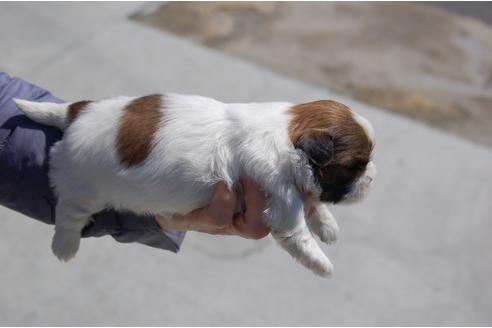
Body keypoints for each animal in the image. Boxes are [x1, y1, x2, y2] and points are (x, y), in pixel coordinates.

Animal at [13, 95, 374, 276]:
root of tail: (79, 111)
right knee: (70, 214)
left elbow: (314, 204)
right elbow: (297, 231)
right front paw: (322, 264)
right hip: (83, 185)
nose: (371, 177)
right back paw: (64, 247)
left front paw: (327, 225)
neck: (289, 131)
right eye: (354, 166)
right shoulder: (280, 192)